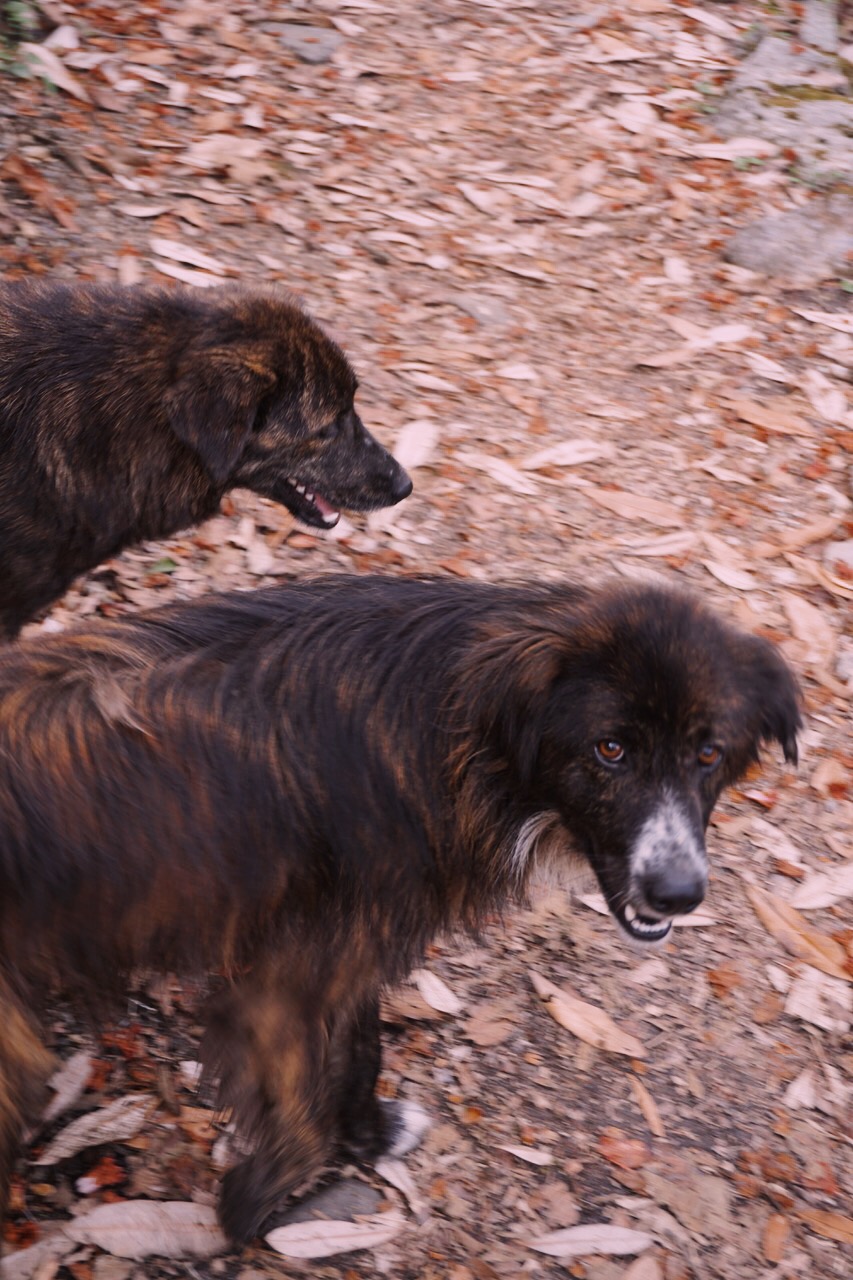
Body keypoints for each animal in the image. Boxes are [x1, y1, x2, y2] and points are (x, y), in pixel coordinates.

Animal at [0, 576, 799, 1244]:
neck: (454, 731)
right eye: (610, 749)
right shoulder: (281, 992)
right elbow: (299, 1118)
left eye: (707, 753)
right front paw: (250, 1213)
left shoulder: (347, 947)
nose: (678, 893)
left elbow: (361, 1049)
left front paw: (369, 1135)